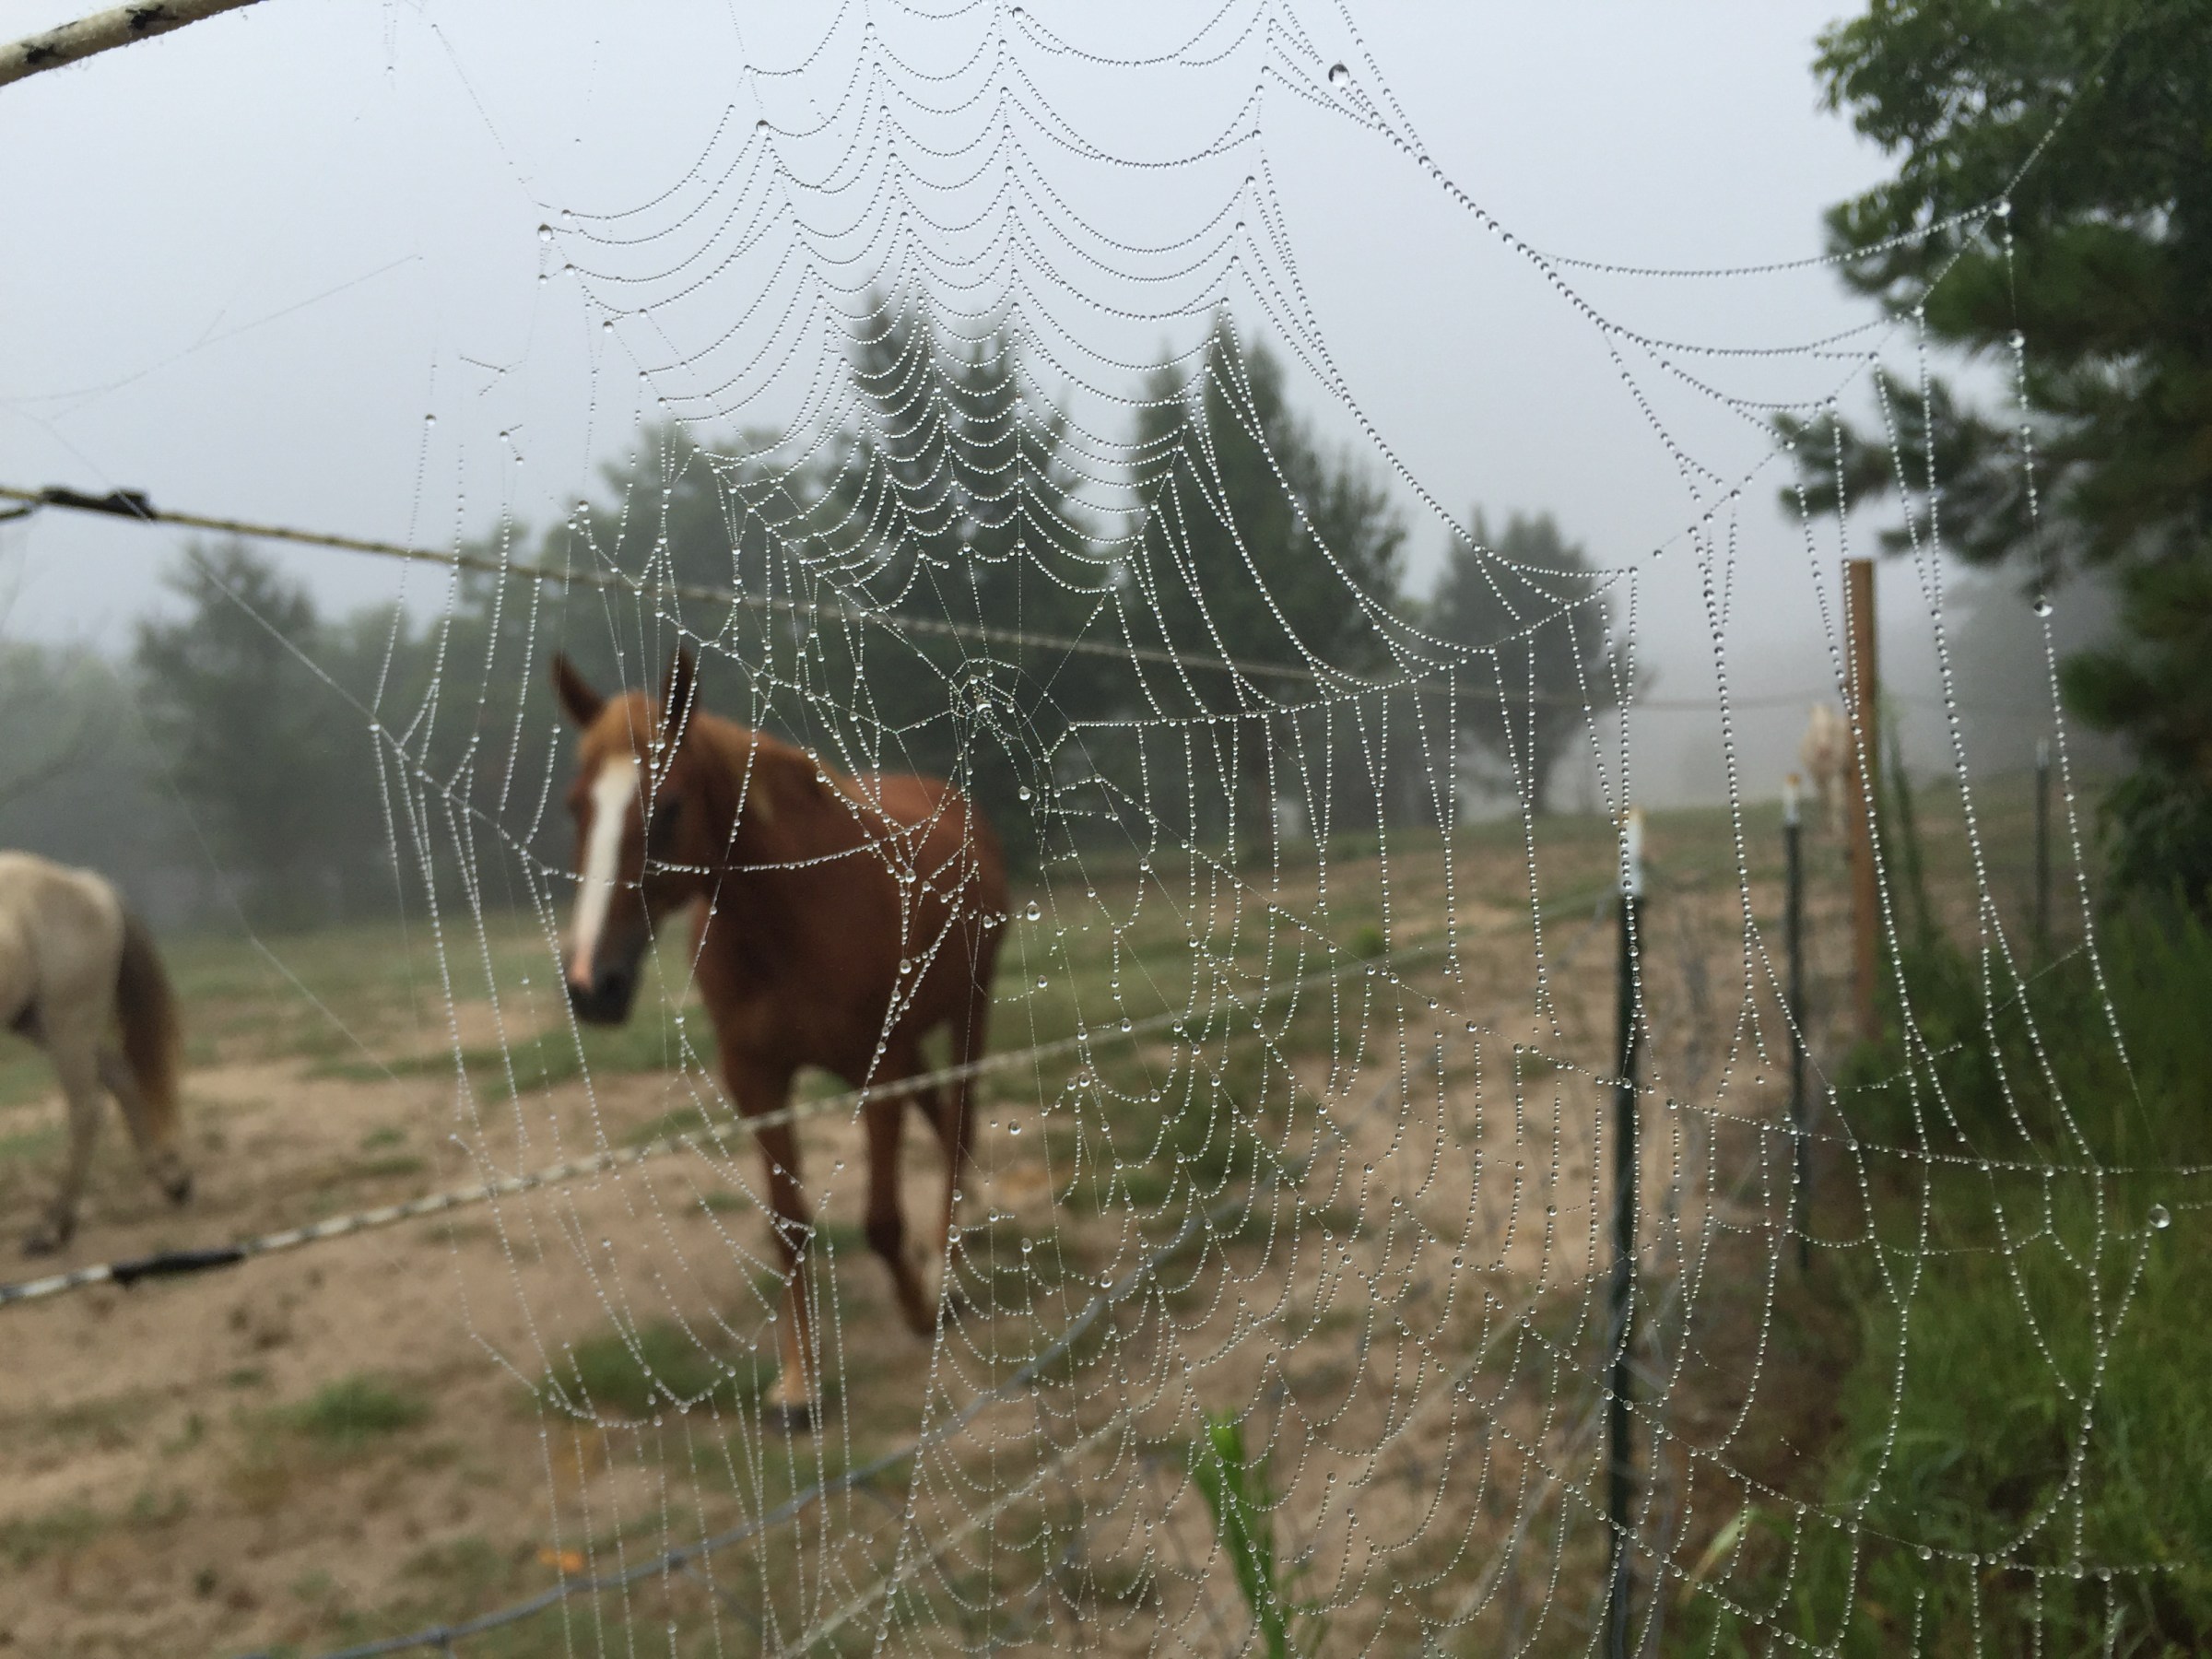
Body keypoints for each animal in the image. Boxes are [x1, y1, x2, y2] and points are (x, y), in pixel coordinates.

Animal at [0, 853, 189, 1254]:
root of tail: (90, 885)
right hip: (43, 1025)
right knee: (120, 1077)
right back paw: (173, 1183)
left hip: (66, 1025)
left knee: (86, 1110)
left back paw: (53, 1228)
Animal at [551, 648, 1009, 1425]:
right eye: (577, 806)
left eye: (669, 808)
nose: (592, 985)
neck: (790, 915)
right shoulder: (755, 1077)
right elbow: (788, 1227)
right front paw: (798, 1385)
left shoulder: (878, 1067)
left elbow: (880, 1221)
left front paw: (919, 1308)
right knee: (943, 1116)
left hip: (970, 1011)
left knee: (959, 1123)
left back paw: (946, 1270)